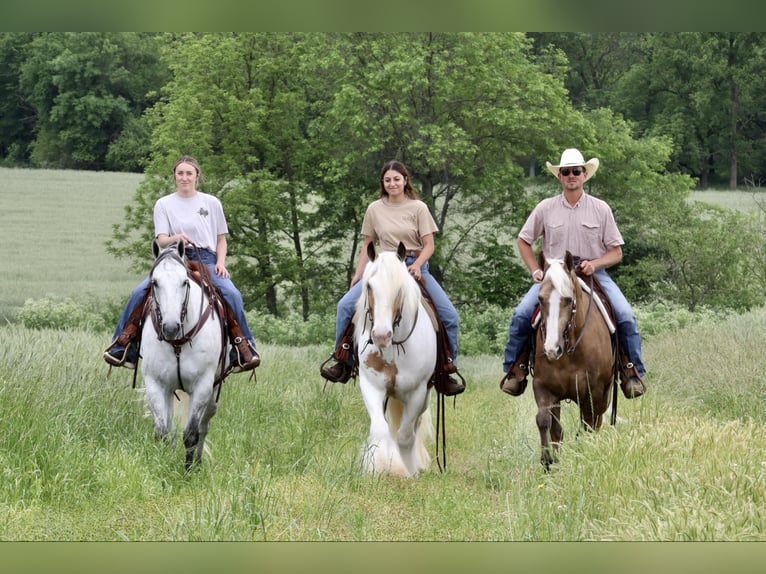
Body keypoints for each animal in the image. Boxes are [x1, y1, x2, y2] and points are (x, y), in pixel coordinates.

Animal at [536, 252, 616, 472]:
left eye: (568, 299)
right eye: (540, 298)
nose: (551, 349)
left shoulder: (593, 391)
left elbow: (587, 425)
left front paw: (584, 457)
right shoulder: (544, 388)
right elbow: (545, 422)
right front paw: (548, 462)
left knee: (594, 422)